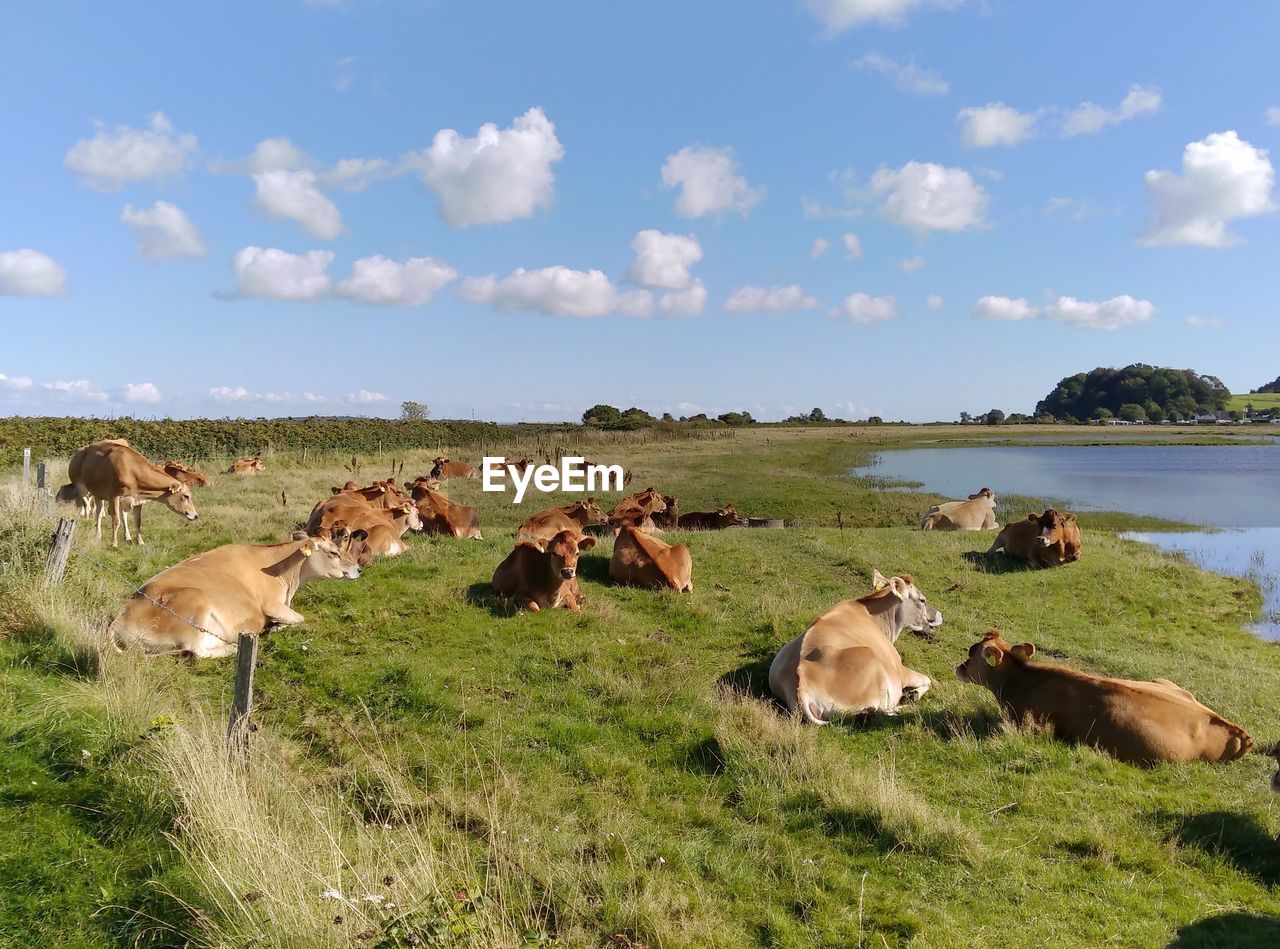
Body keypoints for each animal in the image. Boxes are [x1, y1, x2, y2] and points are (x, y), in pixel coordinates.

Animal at [60, 438, 198, 543]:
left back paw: (127, 537)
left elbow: (137, 522)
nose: (196, 516)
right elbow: (116, 521)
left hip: (101, 495)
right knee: (92, 509)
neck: (132, 471)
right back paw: (97, 533)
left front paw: (140, 542)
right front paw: (114, 543)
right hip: (83, 488)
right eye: (186, 496)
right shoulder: (114, 497)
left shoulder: (137, 499)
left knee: (109, 514)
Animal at [762, 573, 947, 722]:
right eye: (922, 600)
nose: (940, 614)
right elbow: (929, 679)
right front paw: (913, 694)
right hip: (872, 664)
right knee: (883, 710)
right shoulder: (899, 669)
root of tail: (803, 685)